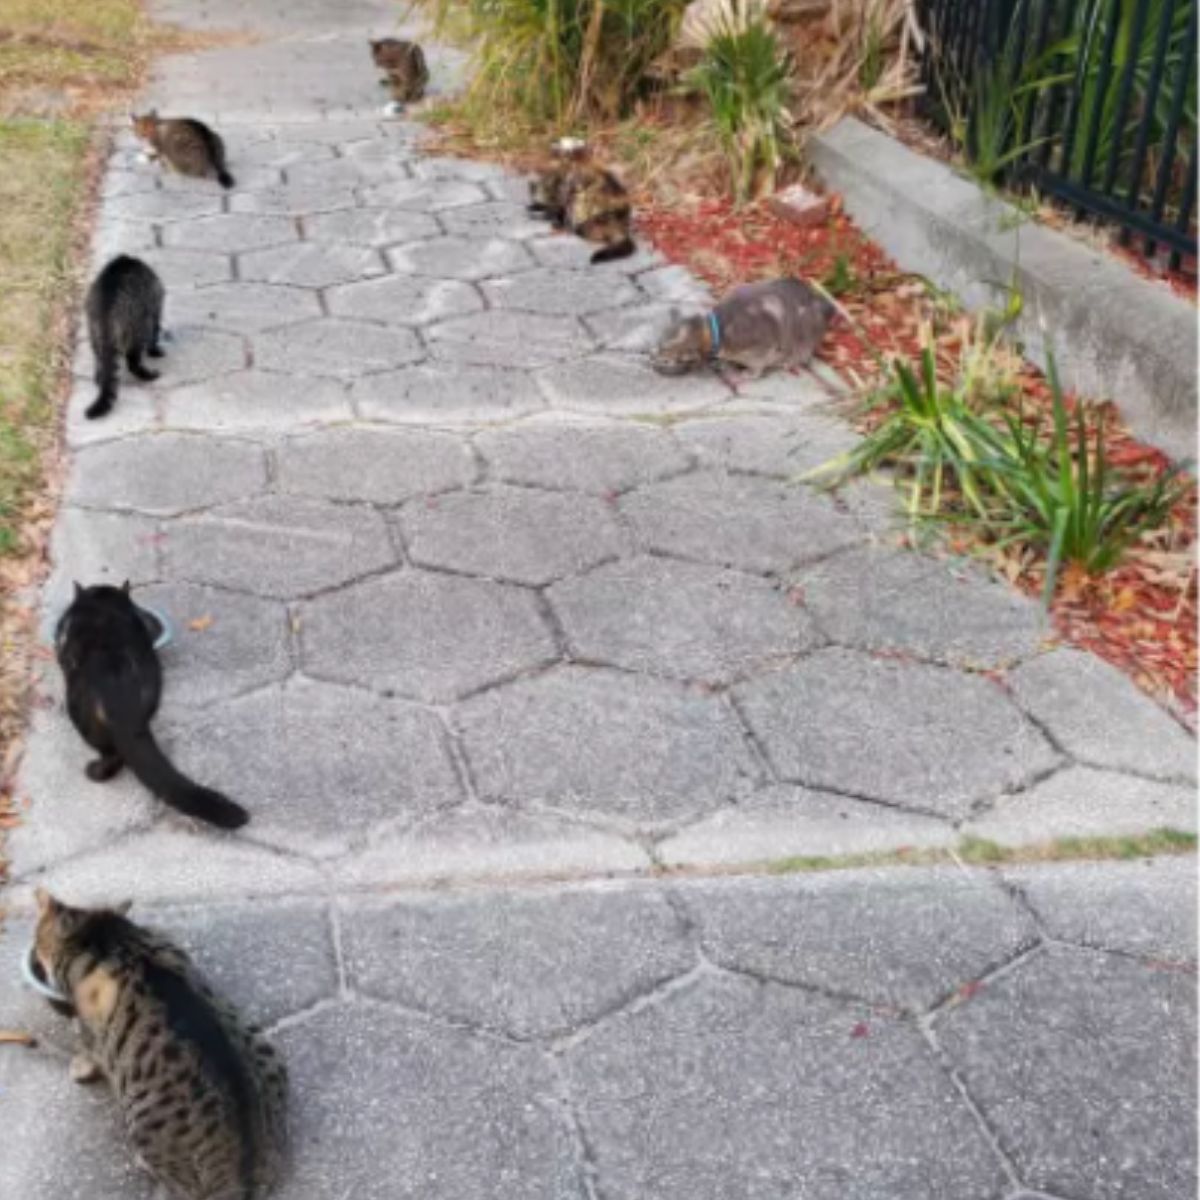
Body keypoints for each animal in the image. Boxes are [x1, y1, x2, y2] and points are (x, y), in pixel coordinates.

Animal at [35, 888, 288, 1200]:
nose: (35, 955)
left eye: (37, 937)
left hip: (143, 1124)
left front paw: (79, 1066)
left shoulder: (90, 1026)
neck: (109, 934)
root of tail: (242, 1169)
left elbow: (87, 1047)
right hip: (265, 1049)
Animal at [86, 255, 166, 420]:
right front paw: (154, 349)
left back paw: (100, 376)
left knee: (99, 357)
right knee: (133, 358)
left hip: (92, 323)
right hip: (137, 322)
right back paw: (144, 373)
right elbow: (155, 328)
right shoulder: (154, 299)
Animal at [648, 278, 835, 376]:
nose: (649, 354)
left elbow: (758, 366)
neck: (718, 330)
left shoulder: (763, 345)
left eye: (662, 347)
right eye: (657, 342)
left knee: (803, 355)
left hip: (804, 338)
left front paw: (747, 373)